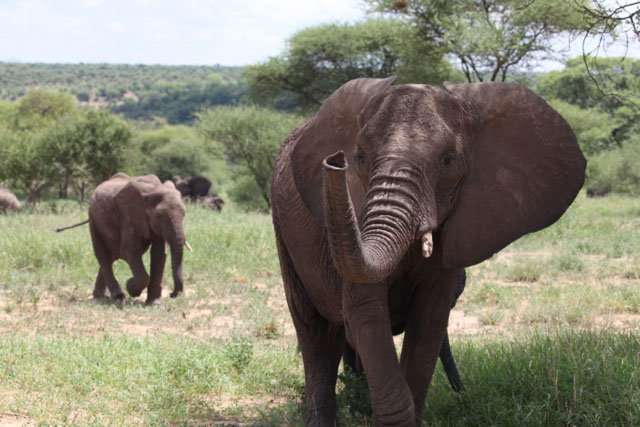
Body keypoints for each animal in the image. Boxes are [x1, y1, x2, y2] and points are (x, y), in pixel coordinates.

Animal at [270, 77, 584, 427]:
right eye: (360, 157)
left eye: (447, 160)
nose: (335, 161)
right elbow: (365, 312)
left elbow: (430, 319)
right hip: (283, 230)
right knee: (313, 330)